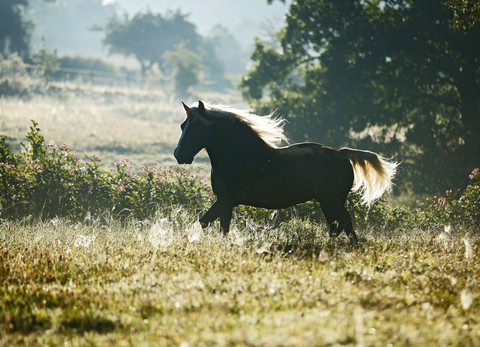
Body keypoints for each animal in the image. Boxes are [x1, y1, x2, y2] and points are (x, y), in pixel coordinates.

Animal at [173, 100, 398, 242]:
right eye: (183, 125)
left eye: (196, 128)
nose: (178, 155)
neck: (240, 156)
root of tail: (343, 155)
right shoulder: (225, 202)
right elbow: (212, 225)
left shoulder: (226, 200)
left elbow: (211, 225)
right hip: (331, 202)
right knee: (342, 224)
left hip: (330, 201)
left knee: (340, 224)